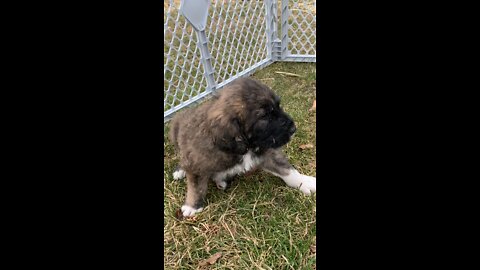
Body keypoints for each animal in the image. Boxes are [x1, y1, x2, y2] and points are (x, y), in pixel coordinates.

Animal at [169, 77, 316, 216]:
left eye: (278, 106)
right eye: (264, 116)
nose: (293, 129)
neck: (244, 145)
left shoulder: (265, 151)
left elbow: (286, 169)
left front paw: (304, 182)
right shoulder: (196, 163)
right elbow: (196, 187)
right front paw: (192, 206)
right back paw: (181, 171)